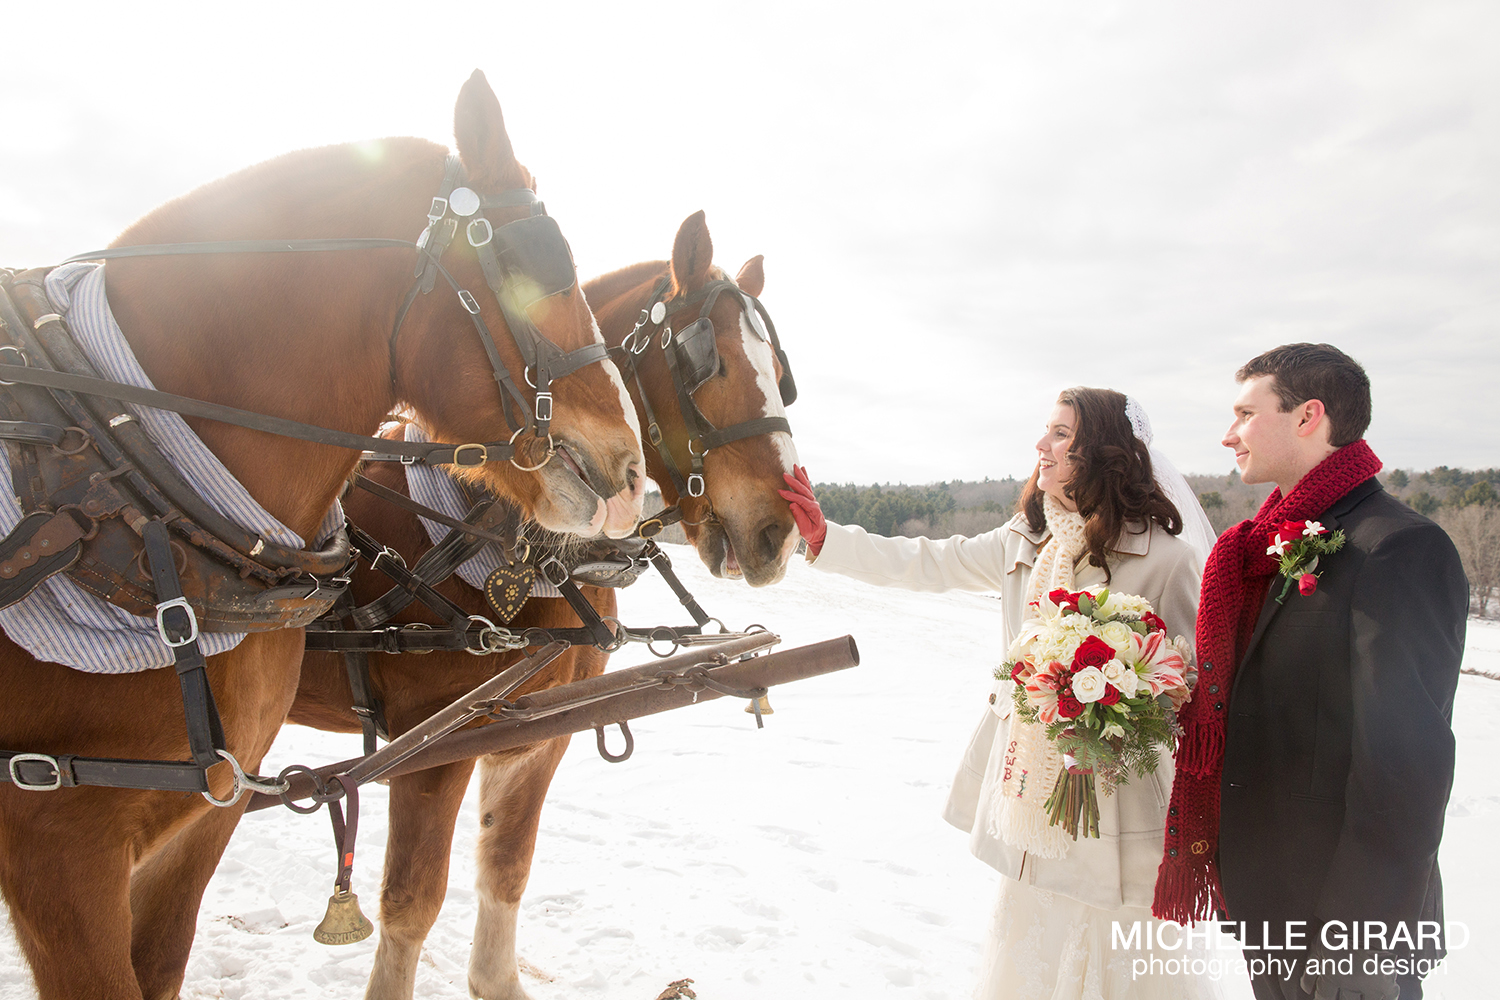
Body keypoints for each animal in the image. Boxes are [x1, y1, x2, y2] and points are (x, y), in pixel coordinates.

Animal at [282, 211, 798, 1000]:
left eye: (781, 374)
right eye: (707, 364)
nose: (781, 530)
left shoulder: (536, 734)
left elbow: (507, 869)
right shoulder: (432, 746)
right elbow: (411, 900)